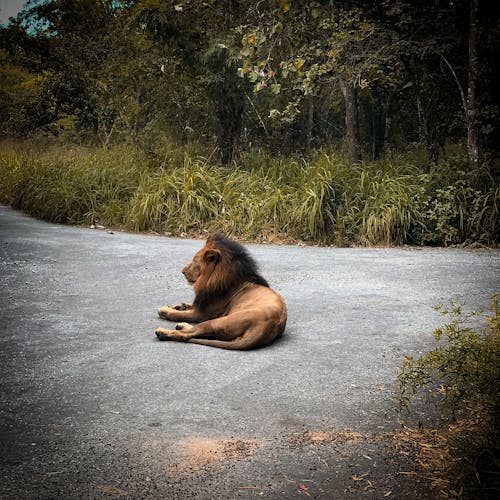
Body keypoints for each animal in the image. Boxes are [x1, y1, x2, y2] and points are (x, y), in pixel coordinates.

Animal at [154, 233, 288, 348]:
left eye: (195, 261)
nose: (182, 271)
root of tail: (266, 328)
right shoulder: (202, 302)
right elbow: (188, 305)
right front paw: (179, 306)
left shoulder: (201, 313)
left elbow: (177, 314)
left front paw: (166, 310)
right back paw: (181, 326)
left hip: (217, 321)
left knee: (188, 334)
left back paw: (163, 332)